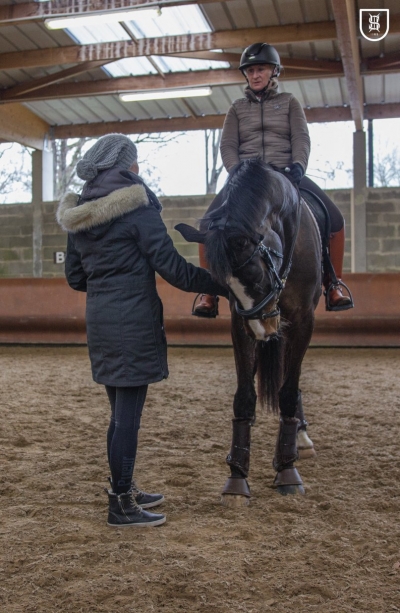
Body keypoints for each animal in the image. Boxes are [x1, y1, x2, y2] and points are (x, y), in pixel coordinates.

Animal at [177, 160, 320, 504]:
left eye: (255, 273)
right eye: (221, 283)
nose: (263, 329)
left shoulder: (303, 321)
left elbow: (288, 391)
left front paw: (287, 470)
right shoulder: (239, 324)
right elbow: (244, 395)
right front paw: (237, 477)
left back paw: (301, 438)